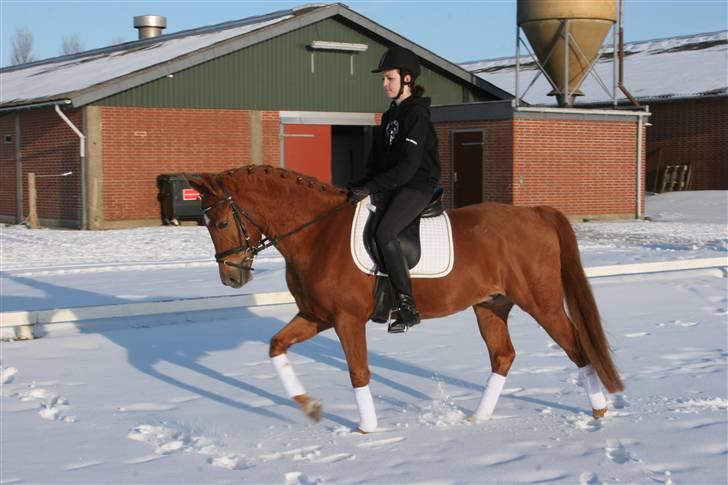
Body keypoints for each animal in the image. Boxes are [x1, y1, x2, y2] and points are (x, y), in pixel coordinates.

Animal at [185, 165, 624, 432]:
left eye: (220, 222)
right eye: (205, 223)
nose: (231, 277)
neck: (318, 233)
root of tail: (535, 212)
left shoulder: (346, 319)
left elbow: (358, 372)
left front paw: (367, 429)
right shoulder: (315, 315)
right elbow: (276, 345)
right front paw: (310, 408)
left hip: (542, 302)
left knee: (577, 348)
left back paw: (599, 412)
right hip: (490, 305)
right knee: (503, 356)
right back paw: (478, 418)